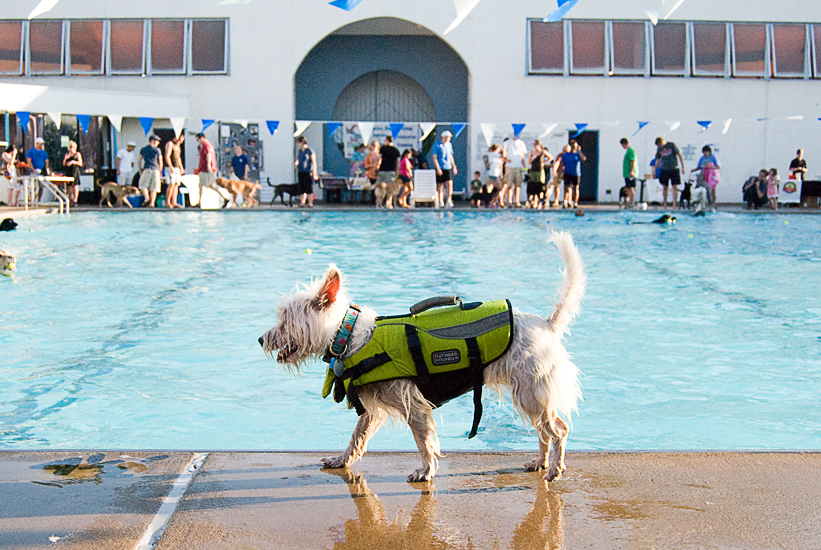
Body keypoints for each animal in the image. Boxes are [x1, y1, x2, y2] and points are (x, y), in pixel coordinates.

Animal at [256, 232, 584, 484]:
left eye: (285, 320)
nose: (261, 339)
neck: (348, 336)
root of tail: (546, 323)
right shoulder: (371, 408)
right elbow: (356, 437)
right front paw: (342, 460)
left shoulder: (413, 405)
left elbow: (424, 441)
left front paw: (426, 472)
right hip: (531, 394)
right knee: (546, 430)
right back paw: (540, 462)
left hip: (530, 392)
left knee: (558, 430)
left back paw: (554, 468)